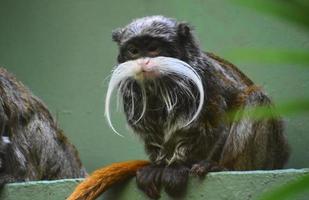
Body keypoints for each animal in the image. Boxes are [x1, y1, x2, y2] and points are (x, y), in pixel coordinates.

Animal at [104, 15, 292, 198]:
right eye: (134, 51)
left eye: (153, 48)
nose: (143, 62)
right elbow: (153, 135)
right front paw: (159, 166)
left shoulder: (207, 81)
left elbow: (218, 126)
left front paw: (179, 166)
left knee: (257, 99)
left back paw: (224, 167)